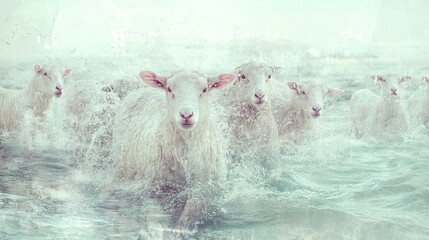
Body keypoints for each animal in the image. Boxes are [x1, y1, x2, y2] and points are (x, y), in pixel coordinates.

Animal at [111, 69, 234, 227]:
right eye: (169, 89)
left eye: (205, 89)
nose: (186, 114)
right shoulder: (158, 189)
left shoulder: (202, 189)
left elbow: (189, 216)